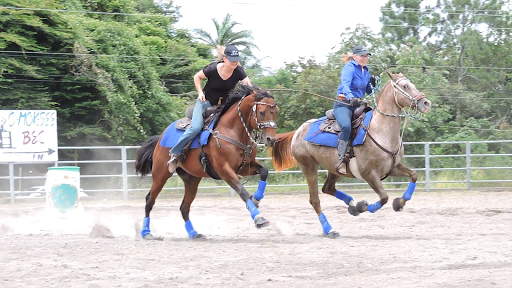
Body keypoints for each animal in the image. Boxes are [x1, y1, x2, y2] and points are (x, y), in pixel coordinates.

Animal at [136, 84, 278, 240]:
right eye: (261, 112)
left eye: (276, 112)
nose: (271, 139)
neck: (232, 130)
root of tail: (160, 137)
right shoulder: (224, 170)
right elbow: (243, 192)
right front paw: (259, 218)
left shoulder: (245, 167)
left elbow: (264, 172)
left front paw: (257, 199)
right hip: (161, 174)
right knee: (150, 199)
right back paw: (146, 233)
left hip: (191, 179)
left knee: (184, 207)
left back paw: (194, 234)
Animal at [272, 71, 432, 237]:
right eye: (405, 86)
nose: (426, 103)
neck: (379, 131)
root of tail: (298, 131)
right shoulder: (369, 174)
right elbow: (384, 198)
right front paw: (363, 207)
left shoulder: (393, 167)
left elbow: (414, 175)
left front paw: (399, 203)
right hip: (309, 167)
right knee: (315, 200)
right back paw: (330, 229)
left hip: (334, 169)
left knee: (328, 189)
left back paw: (351, 205)